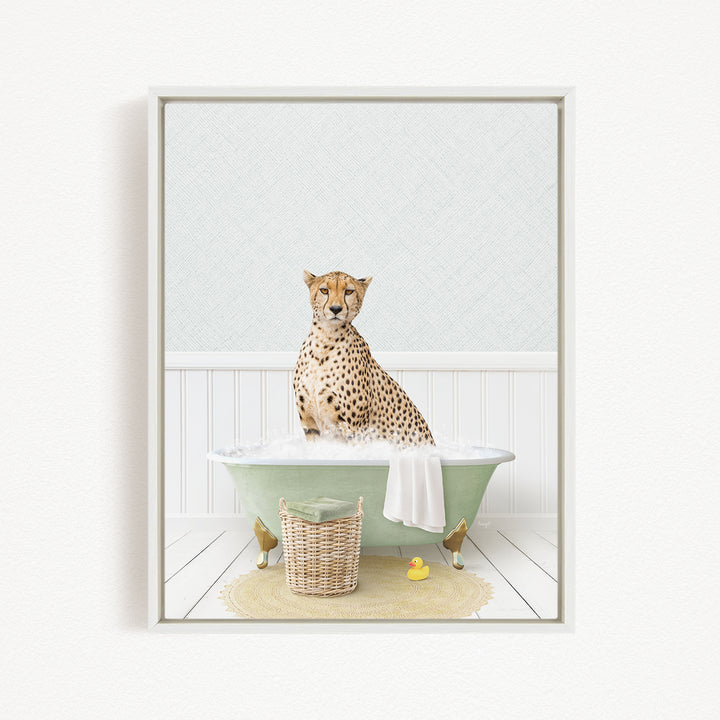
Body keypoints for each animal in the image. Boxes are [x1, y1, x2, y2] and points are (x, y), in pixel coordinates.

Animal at [293, 270, 435, 447]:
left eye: (349, 291)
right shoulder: (310, 425)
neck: (325, 340)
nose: (335, 309)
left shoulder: (354, 430)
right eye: (324, 290)